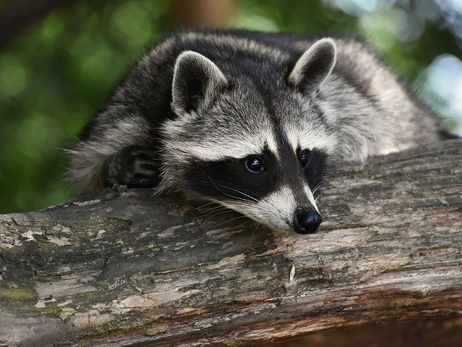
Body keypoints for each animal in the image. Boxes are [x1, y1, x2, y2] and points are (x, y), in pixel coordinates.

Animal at [67, 28, 444, 235]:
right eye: (254, 164)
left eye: (304, 157)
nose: (309, 219)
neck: (234, 61)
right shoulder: (127, 106)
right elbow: (88, 166)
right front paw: (117, 166)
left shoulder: (349, 103)